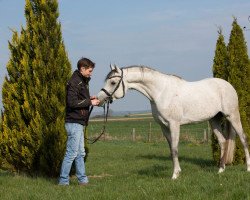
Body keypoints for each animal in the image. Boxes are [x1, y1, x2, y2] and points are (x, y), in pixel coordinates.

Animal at [97, 64, 250, 180]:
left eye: (112, 82)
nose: (99, 100)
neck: (161, 92)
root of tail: (228, 85)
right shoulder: (164, 127)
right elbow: (171, 150)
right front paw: (178, 171)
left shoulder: (174, 124)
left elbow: (175, 149)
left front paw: (175, 175)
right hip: (214, 120)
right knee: (223, 142)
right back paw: (221, 170)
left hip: (232, 116)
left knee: (243, 138)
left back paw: (247, 168)